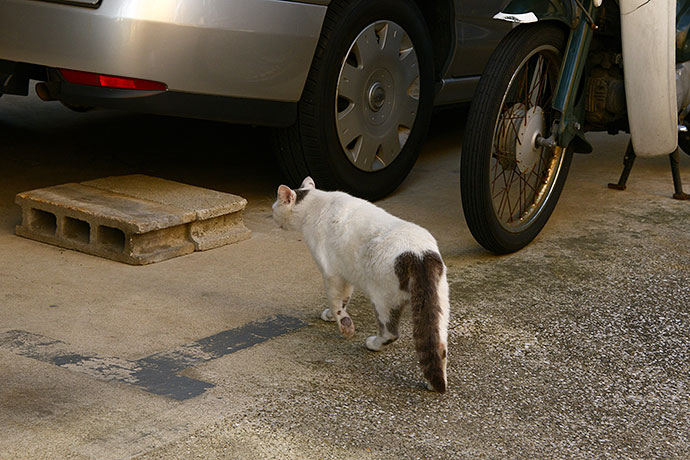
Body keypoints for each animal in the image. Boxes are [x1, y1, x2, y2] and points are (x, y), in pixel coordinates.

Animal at [272, 176, 448, 392]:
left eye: (276, 204)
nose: (272, 212)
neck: (315, 204)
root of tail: (417, 255)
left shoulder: (331, 273)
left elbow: (336, 303)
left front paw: (344, 325)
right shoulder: (346, 273)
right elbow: (344, 299)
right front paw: (331, 316)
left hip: (382, 300)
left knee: (390, 332)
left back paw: (373, 343)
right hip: (438, 305)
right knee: (437, 344)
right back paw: (434, 380)